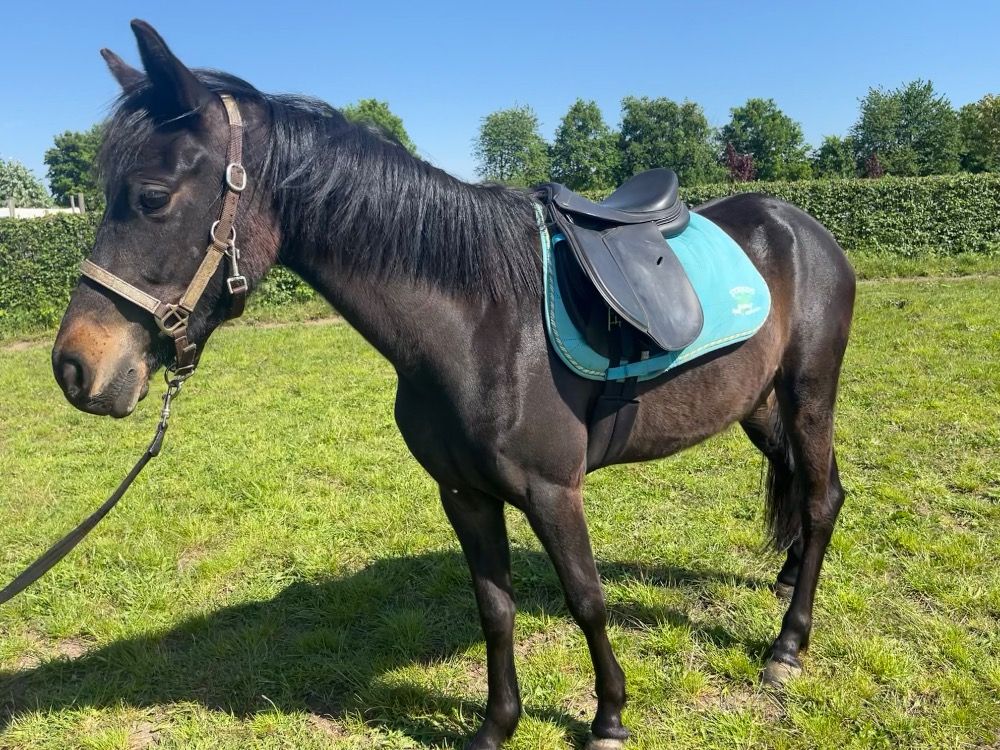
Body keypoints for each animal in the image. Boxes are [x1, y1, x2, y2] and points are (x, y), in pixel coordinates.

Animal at [51, 20, 856, 750]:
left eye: (152, 196)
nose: (75, 366)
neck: (480, 325)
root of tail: (800, 224)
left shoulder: (553, 492)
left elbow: (587, 599)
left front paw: (609, 719)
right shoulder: (464, 494)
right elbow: (494, 609)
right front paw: (497, 727)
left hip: (808, 394)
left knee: (820, 500)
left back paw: (787, 646)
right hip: (758, 406)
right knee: (812, 486)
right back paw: (786, 582)